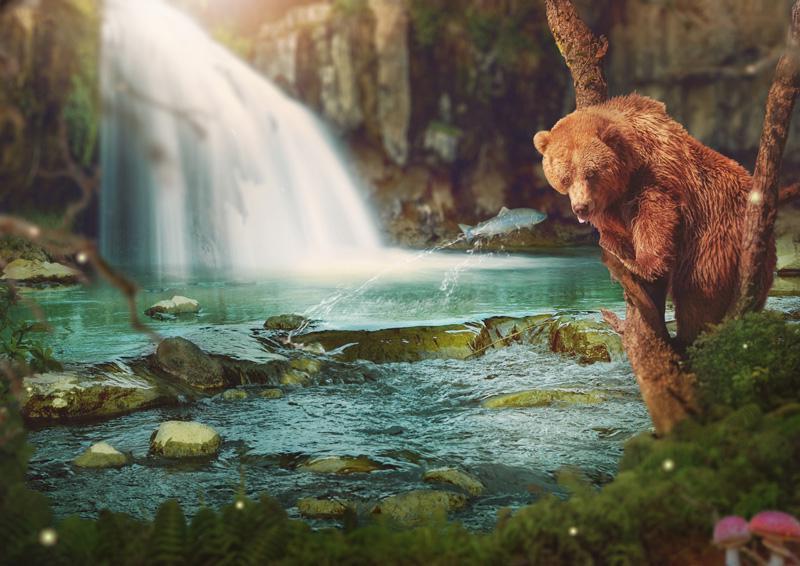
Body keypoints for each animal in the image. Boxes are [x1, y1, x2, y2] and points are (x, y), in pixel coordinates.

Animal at [533, 93, 775, 346]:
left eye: (591, 173)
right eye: (565, 177)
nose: (581, 207)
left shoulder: (658, 177)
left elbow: (655, 219)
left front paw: (638, 264)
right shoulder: (613, 202)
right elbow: (614, 228)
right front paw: (612, 245)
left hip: (716, 235)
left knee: (698, 289)